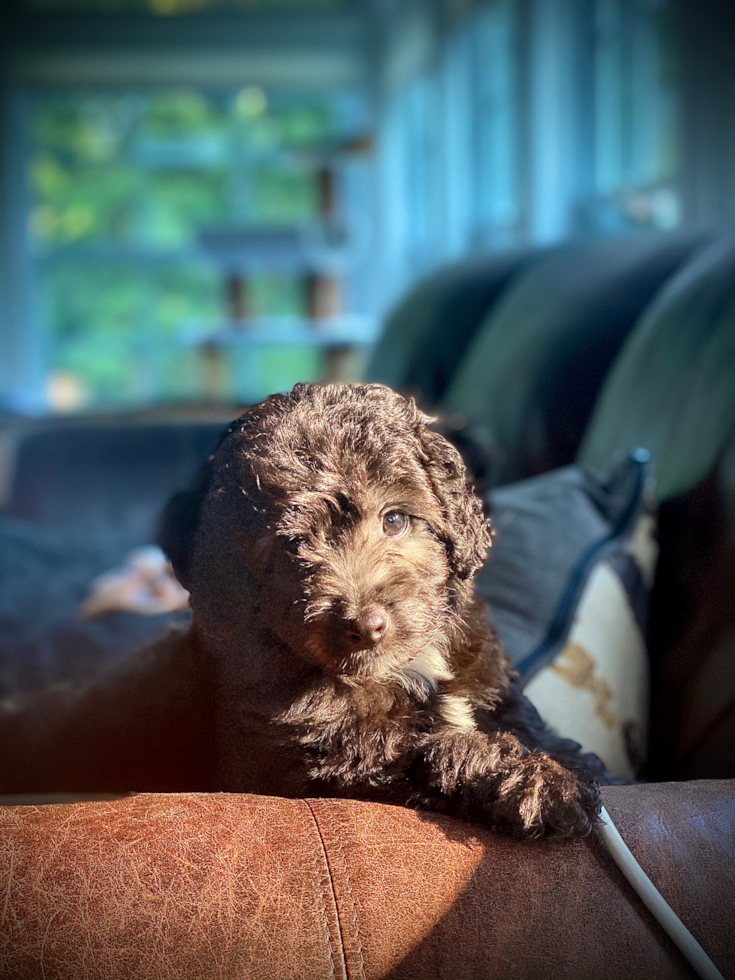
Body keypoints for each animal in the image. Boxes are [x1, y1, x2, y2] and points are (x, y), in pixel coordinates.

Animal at [0, 380, 604, 836]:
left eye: (395, 519)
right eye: (292, 547)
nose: (366, 627)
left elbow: (521, 720)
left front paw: (563, 763)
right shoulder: (295, 765)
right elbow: (397, 753)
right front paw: (532, 783)